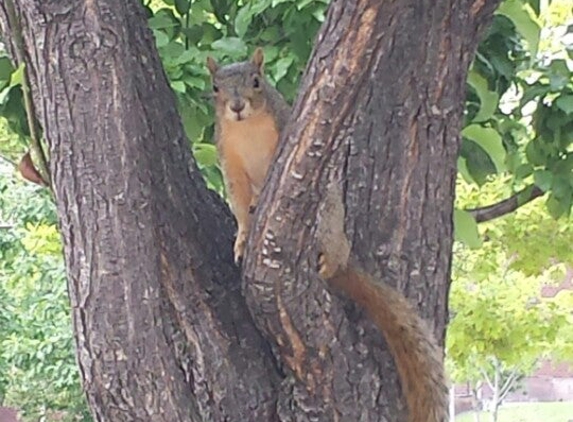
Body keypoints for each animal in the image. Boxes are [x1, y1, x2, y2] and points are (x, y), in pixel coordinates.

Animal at [206, 47, 288, 262]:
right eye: (215, 87)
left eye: (256, 82)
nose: (237, 107)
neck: (247, 127)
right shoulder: (229, 159)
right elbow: (239, 202)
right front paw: (242, 240)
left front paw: (257, 199)